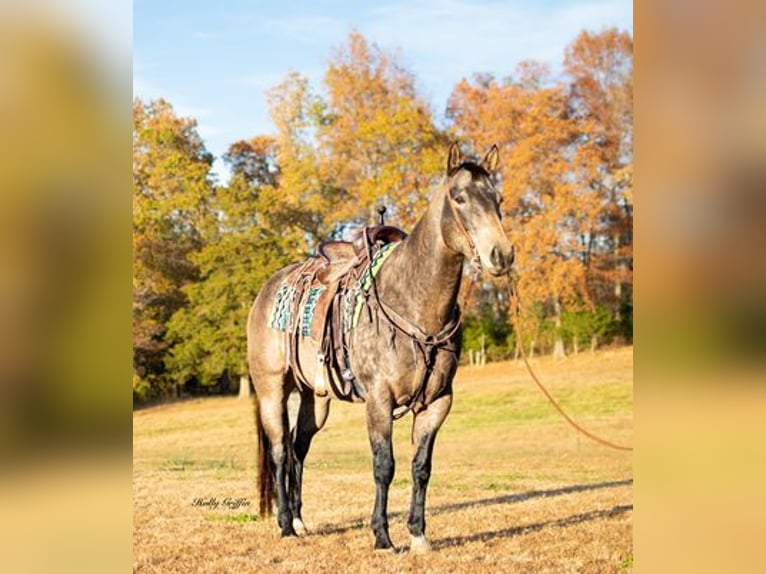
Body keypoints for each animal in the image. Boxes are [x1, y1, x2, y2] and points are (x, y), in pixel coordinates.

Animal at [249, 143, 516, 552]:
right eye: (459, 198)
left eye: (498, 199)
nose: (501, 255)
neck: (413, 302)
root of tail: (266, 290)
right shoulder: (379, 399)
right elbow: (384, 465)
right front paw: (382, 536)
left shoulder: (438, 402)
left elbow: (421, 467)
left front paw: (418, 534)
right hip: (271, 390)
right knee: (280, 451)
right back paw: (284, 525)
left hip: (316, 398)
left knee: (298, 447)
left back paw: (298, 518)